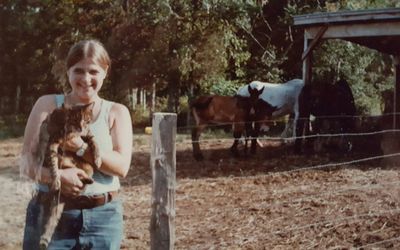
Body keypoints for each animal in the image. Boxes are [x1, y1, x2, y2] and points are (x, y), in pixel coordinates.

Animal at [34, 102, 101, 249]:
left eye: (86, 120)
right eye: (75, 120)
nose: (80, 128)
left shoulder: (88, 133)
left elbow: (95, 142)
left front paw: (98, 159)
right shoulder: (52, 143)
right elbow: (53, 165)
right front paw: (56, 179)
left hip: (88, 169)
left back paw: (87, 181)